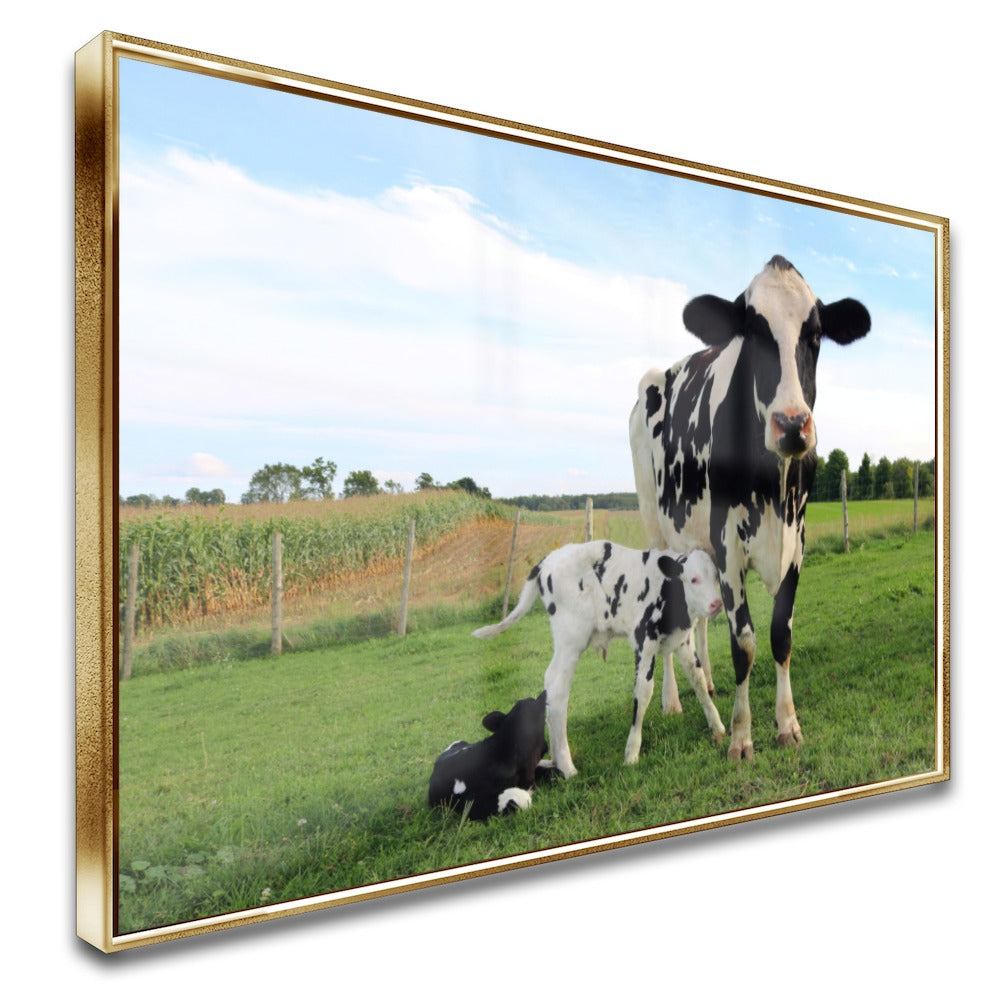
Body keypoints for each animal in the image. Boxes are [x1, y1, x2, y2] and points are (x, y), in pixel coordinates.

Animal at [473, 541, 725, 777]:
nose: (716, 604)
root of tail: (548, 560)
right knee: (558, 689)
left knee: (549, 681)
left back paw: (554, 759)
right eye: (693, 579)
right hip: (572, 639)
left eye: (715, 577)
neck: (668, 590)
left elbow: (699, 680)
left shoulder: (683, 641)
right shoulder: (644, 642)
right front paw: (631, 753)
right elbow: (643, 692)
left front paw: (718, 727)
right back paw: (567, 767)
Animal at [629, 255, 870, 760]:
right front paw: (741, 735)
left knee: (701, 617)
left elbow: (781, 635)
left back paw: (708, 680)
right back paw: (672, 700)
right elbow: (744, 642)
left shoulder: (796, 541)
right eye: (753, 333)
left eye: (815, 335)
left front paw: (787, 723)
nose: (792, 424)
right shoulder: (729, 545)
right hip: (656, 528)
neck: (772, 481)